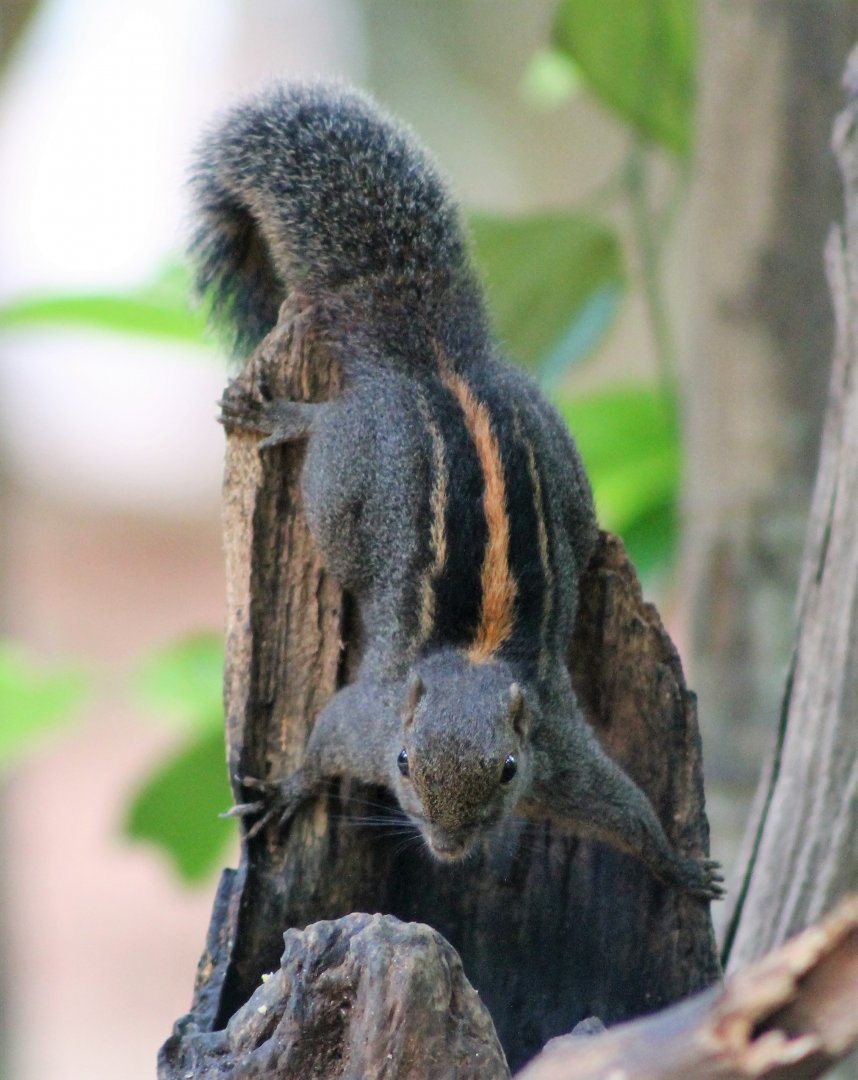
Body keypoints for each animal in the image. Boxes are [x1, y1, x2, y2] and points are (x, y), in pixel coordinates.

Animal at [191, 81, 723, 900]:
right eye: (404, 764)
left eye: (506, 770)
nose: (447, 844)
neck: (472, 662)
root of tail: (436, 359)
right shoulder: (367, 724)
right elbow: (322, 743)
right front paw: (285, 792)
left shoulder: (566, 761)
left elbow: (630, 813)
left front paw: (683, 867)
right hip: (345, 471)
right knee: (327, 427)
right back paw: (280, 414)